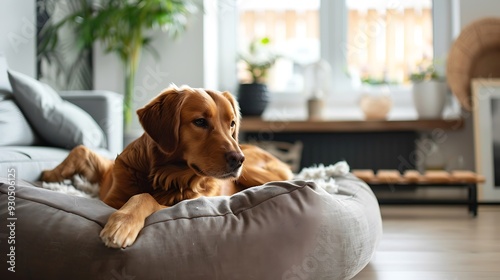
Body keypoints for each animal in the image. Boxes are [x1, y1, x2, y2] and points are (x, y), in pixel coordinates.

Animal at [43, 85, 294, 247]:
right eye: (200, 122)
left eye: (232, 124)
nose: (238, 159)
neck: (163, 174)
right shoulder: (109, 189)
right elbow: (80, 149)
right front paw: (49, 175)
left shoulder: (183, 202)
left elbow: (144, 197)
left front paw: (122, 223)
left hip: (252, 172)